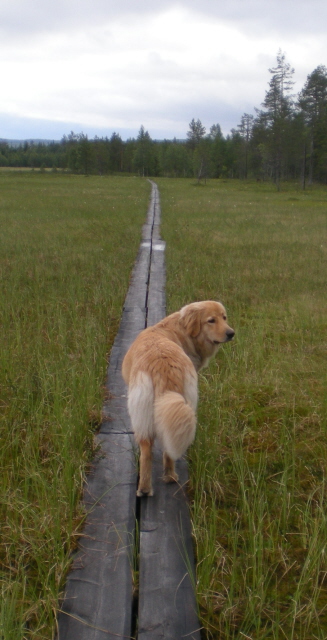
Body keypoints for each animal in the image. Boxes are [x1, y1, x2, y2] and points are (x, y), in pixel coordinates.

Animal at [121, 302, 234, 498]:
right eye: (211, 320)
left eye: (224, 317)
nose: (231, 333)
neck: (181, 331)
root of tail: (163, 366)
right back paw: (168, 477)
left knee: (147, 451)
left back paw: (147, 487)